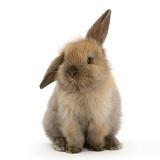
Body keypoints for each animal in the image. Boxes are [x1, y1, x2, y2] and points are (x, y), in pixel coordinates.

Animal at [39, 9, 121, 154]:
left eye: (89, 60)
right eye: (64, 59)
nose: (72, 71)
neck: (83, 91)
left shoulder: (99, 119)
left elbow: (96, 134)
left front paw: (97, 148)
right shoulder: (70, 120)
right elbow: (74, 135)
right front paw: (73, 150)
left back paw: (113, 144)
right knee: (56, 136)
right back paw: (60, 145)